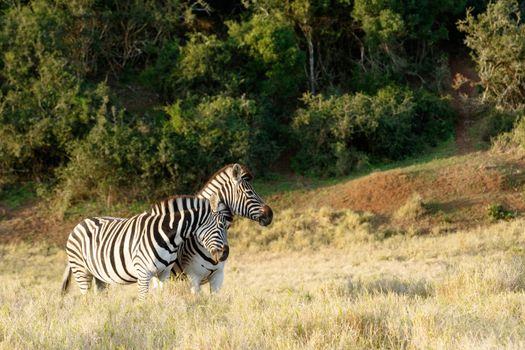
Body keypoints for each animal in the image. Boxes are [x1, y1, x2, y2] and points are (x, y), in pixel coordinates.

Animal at [60, 193, 228, 300]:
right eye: (220, 226)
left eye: (226, 226)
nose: (225, 255)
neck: (169, 236)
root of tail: (80, 224)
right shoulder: (143, 273)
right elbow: (143, 300)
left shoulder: (164, 273)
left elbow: (160, 297)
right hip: (81, 271)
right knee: (86, 299)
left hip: (98, 275)